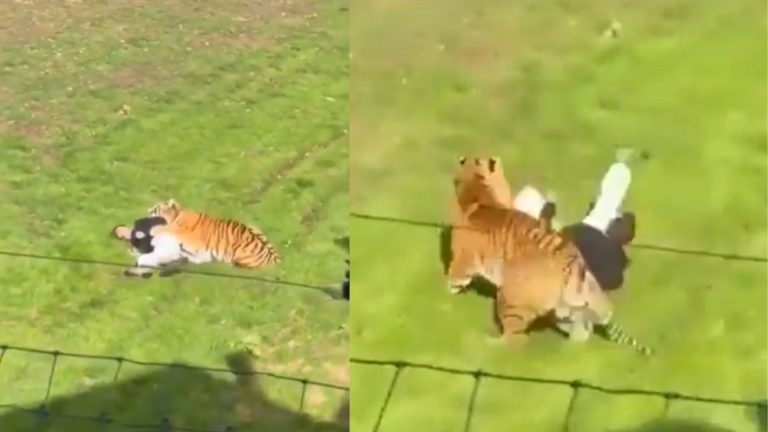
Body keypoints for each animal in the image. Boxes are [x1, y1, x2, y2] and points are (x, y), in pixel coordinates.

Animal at [448, 156, 652, 355]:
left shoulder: (463, 257)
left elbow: (455, 274)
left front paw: (450, 290)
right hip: (565, 308)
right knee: (581, 330)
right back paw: (571, 350)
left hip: (512, 300)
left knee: (516, 339)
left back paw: (485, 345)